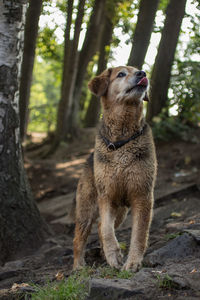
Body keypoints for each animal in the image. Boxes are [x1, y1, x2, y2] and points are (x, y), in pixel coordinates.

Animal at [72, 66, 157, 272]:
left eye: (138, 70)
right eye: (121, 74)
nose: (143, 73)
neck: (121, 140)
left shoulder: (142, 195)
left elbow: (139, 234)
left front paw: (132, 262)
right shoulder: (106, 196)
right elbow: (106, 230)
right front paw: (114, 255)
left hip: (121, 211)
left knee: (100, 225)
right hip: (86, 208)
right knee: (80, 237)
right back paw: (78, 266)